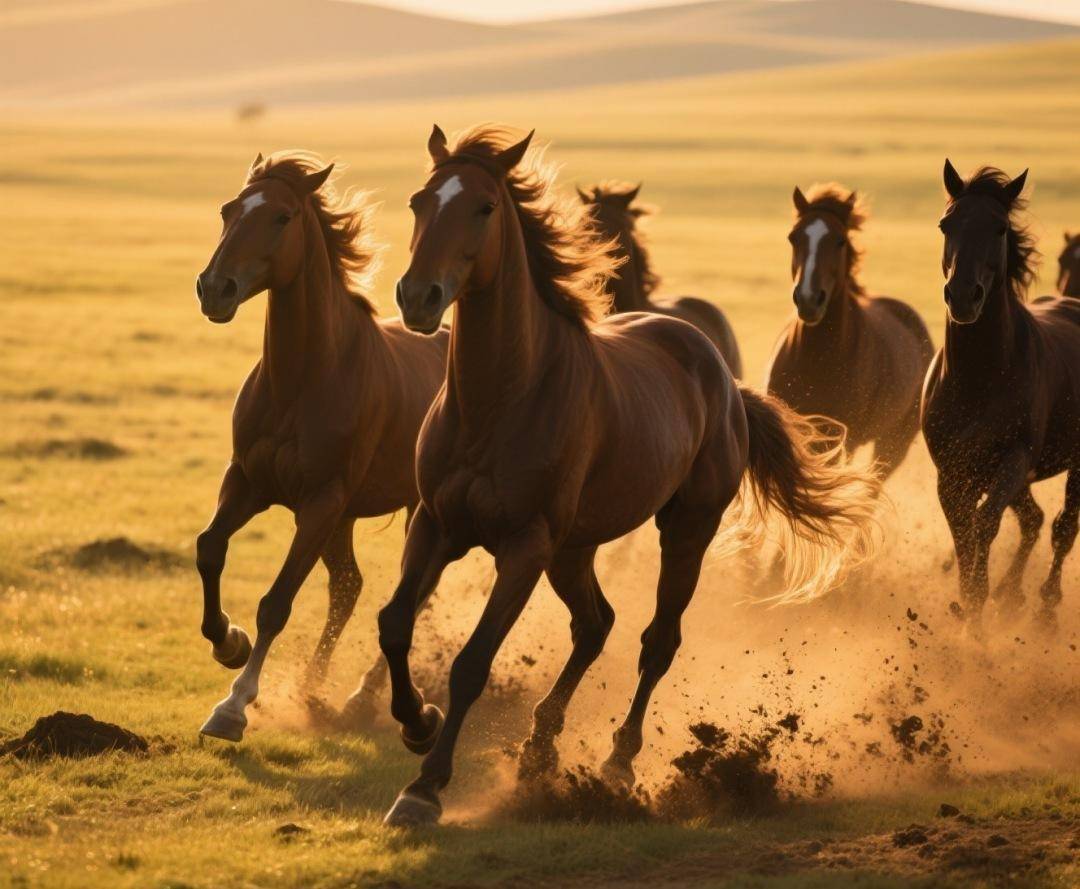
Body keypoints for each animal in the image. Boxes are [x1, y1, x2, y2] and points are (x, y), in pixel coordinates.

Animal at [193, 151, 449, 742]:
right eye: (228, 209)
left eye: (282, 217)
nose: (214, 288)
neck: (302, 379)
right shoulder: (247, 481)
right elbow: (209, 548)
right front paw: (228, 643)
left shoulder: (319, 503)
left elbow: (277, 602)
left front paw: (234, 705)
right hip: (346, 519)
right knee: (349, 588)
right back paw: (313, 690)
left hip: (408, 514)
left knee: (412, 596)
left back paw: (363, 700)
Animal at [766, 184, 933, 479]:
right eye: (793, 237)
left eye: (840, 241)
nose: (809, 299)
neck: (816, 358)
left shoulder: (841, 438)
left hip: (894, 443)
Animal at [922, 161, 1080, 627]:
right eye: (946, 224)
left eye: (1000, 228)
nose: (962, 297)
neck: (979, 378)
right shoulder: (952, 470)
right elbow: (961, 529)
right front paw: (969, 599)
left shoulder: (1014, 459)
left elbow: (984, 522)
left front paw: (978, 599)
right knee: (1034, 520)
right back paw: (1012, 594)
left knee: (1063, 526)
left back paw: (1045, 606)